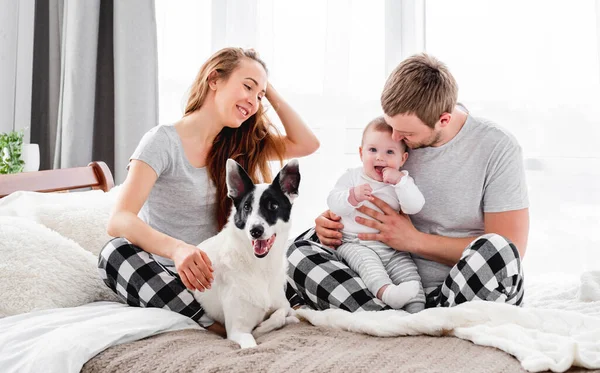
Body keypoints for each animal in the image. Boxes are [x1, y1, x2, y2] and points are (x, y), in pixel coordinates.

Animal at [193, 156, 300, 346]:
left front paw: (265, 325)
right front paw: (259, 330)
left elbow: (281, 312)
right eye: (246, 207)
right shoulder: (238, 331)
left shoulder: (281, 303)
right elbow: (252, 342)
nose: (255, 230)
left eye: (273, 206)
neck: (260, 266)